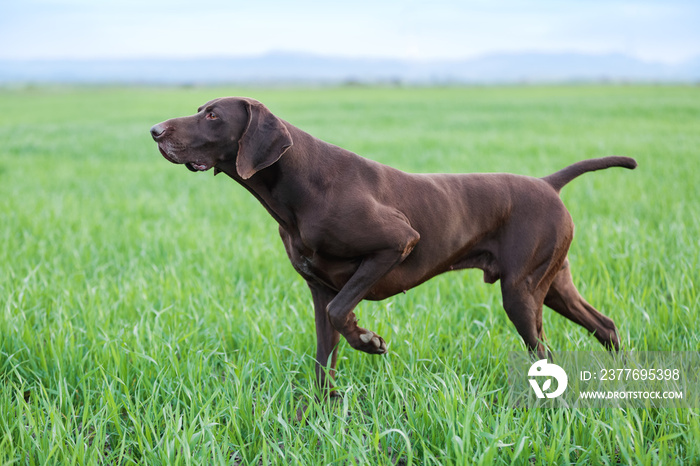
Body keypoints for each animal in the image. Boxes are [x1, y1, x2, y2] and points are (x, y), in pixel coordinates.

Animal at [150, 96, 636, 396]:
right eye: (200, 111)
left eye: (213, 116)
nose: (155, 130)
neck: (301, 184)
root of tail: (548, 183)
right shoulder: (318, 288)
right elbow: (324, 353)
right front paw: (322, 412)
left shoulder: (396, 244)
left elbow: (341, 312)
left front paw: (368, 340)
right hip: (551, 286)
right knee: (605, 325)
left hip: (521, 292)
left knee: (546, 352)